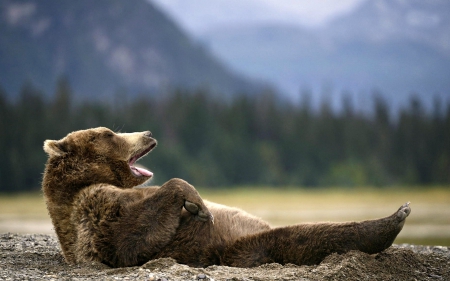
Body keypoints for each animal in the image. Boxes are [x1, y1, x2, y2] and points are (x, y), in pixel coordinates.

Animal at [42, 127, 412, 266]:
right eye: (109, 133)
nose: (147, 132)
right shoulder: (93, 214)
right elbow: (133, 238)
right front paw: (198, 203)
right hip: (237, 244)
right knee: (300, 236)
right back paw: (392, 218)